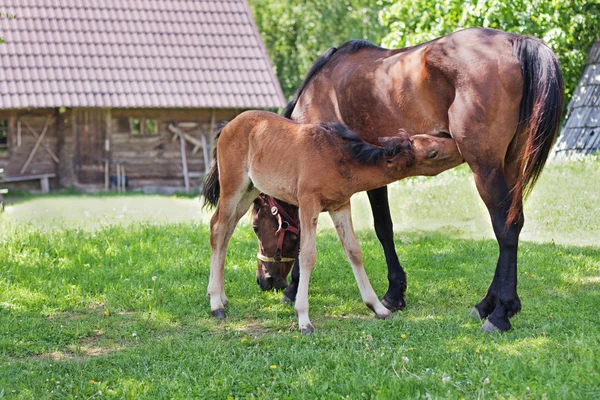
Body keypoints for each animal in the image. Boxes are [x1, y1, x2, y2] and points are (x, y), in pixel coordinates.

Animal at [204, 111, 462, 332]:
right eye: (433, 153)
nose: (458, 145)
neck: (337, 157)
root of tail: (227, 126)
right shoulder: (308, 203)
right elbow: (307, 256)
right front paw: (303, 319)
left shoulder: (340, 206)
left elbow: (354, 251)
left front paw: (377, 307)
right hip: (233, 187)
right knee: (218, 228)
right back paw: (216, 304)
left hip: (250, 190)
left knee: (226, 230)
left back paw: (221, 297)